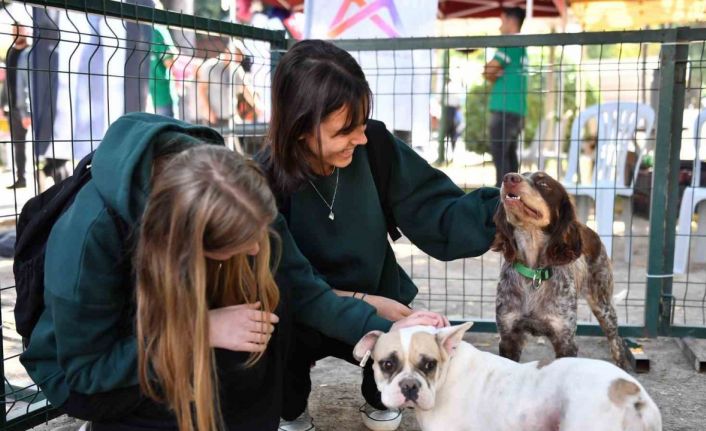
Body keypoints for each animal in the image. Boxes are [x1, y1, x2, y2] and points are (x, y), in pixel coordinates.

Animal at [492, 171, 624, 368]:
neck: (534, 274)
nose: (509, 178)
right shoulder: (508, 337)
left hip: (604, 306)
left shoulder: (565, 340)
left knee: (616, 342)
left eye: (544, 184)